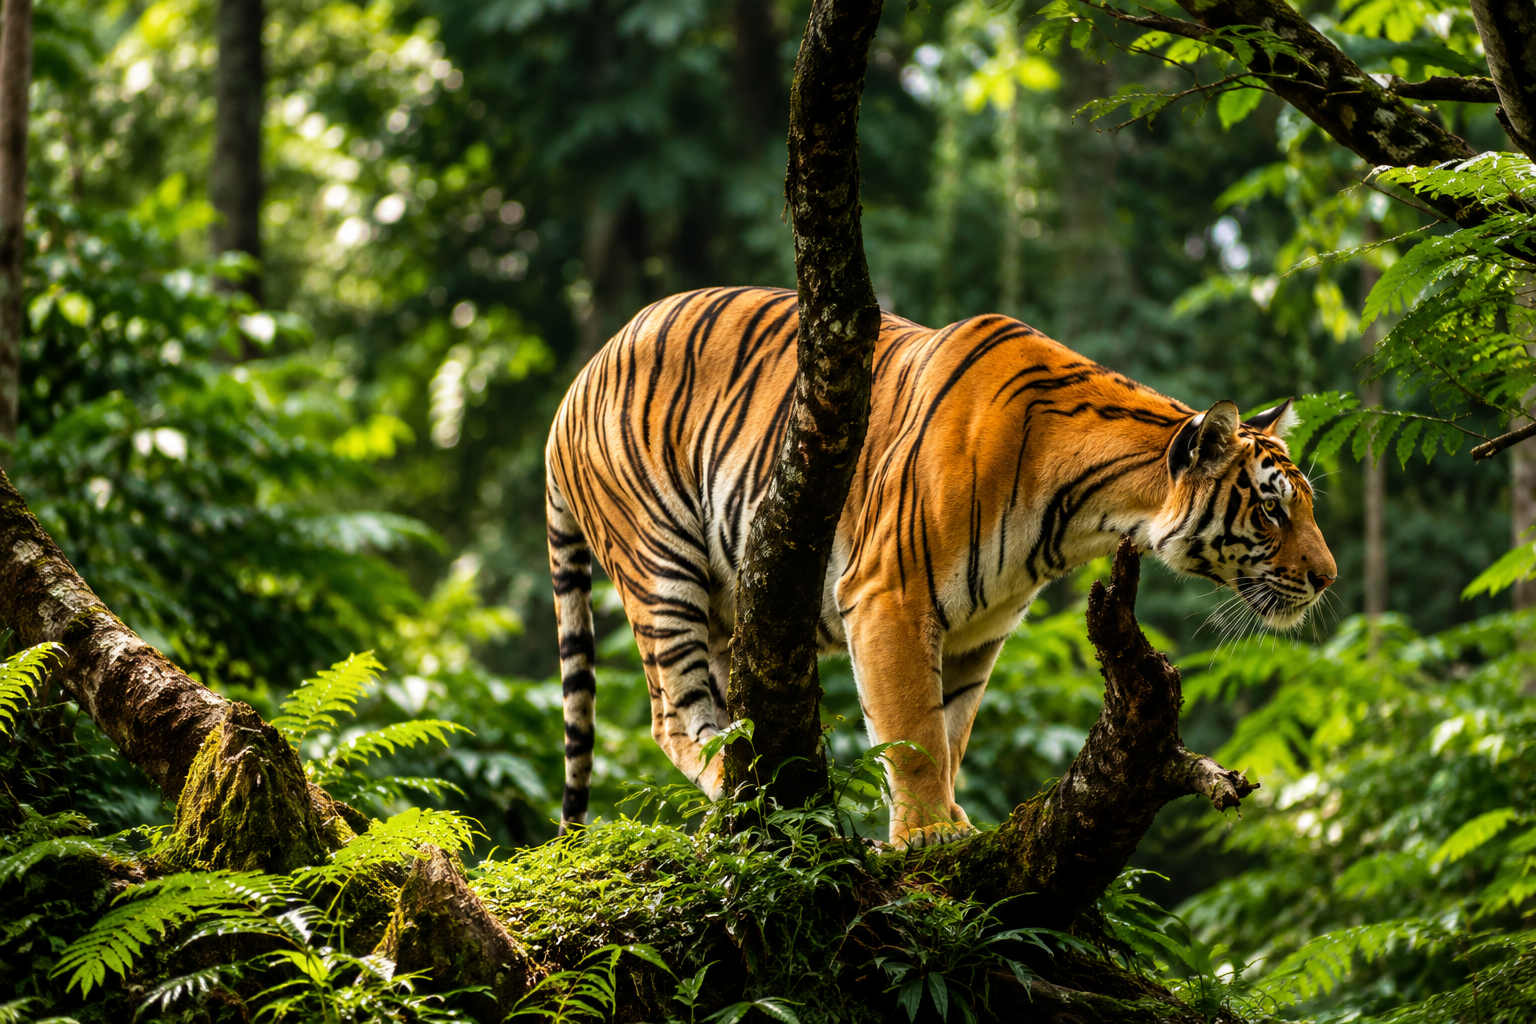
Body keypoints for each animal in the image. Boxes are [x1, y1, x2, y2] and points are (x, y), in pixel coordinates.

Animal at [545, 286, 1335, 847]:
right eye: (1272, 511)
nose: (1327, 577)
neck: (1088, 514)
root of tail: (575, 382)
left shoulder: (978, 629)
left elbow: (949, 731)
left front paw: (948, 825)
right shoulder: (889, 595)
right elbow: (913, 730)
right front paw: (927, 834)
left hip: (734, 600)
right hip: (661, 567)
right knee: (671, 715)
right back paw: (732, 784)